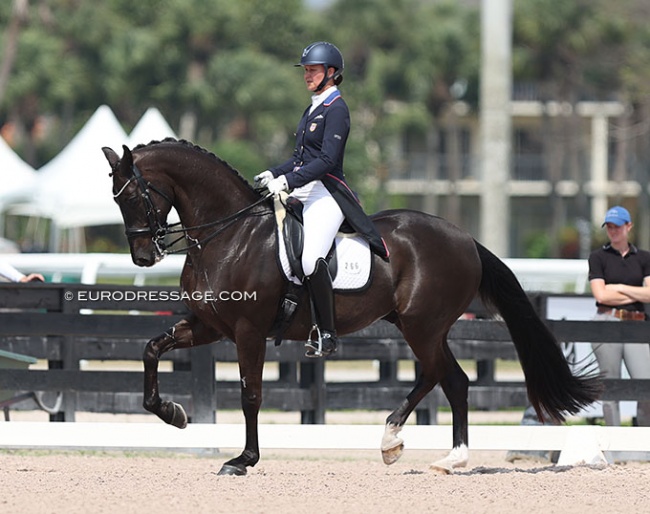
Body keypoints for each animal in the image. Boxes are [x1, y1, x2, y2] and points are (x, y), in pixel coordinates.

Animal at [101, 139, 596, 472]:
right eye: (116, 198)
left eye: (135, 195)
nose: (143, 257)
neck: (231, 236)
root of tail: (464, 238)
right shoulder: (208, 325)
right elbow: (150, 349)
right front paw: (173, 414)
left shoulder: (247, 332)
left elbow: (250, 394)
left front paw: (243, 459)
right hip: (418, 326)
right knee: (448, 378)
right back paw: (426, 451)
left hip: (422, 325)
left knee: (444, 376)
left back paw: (417, 446)